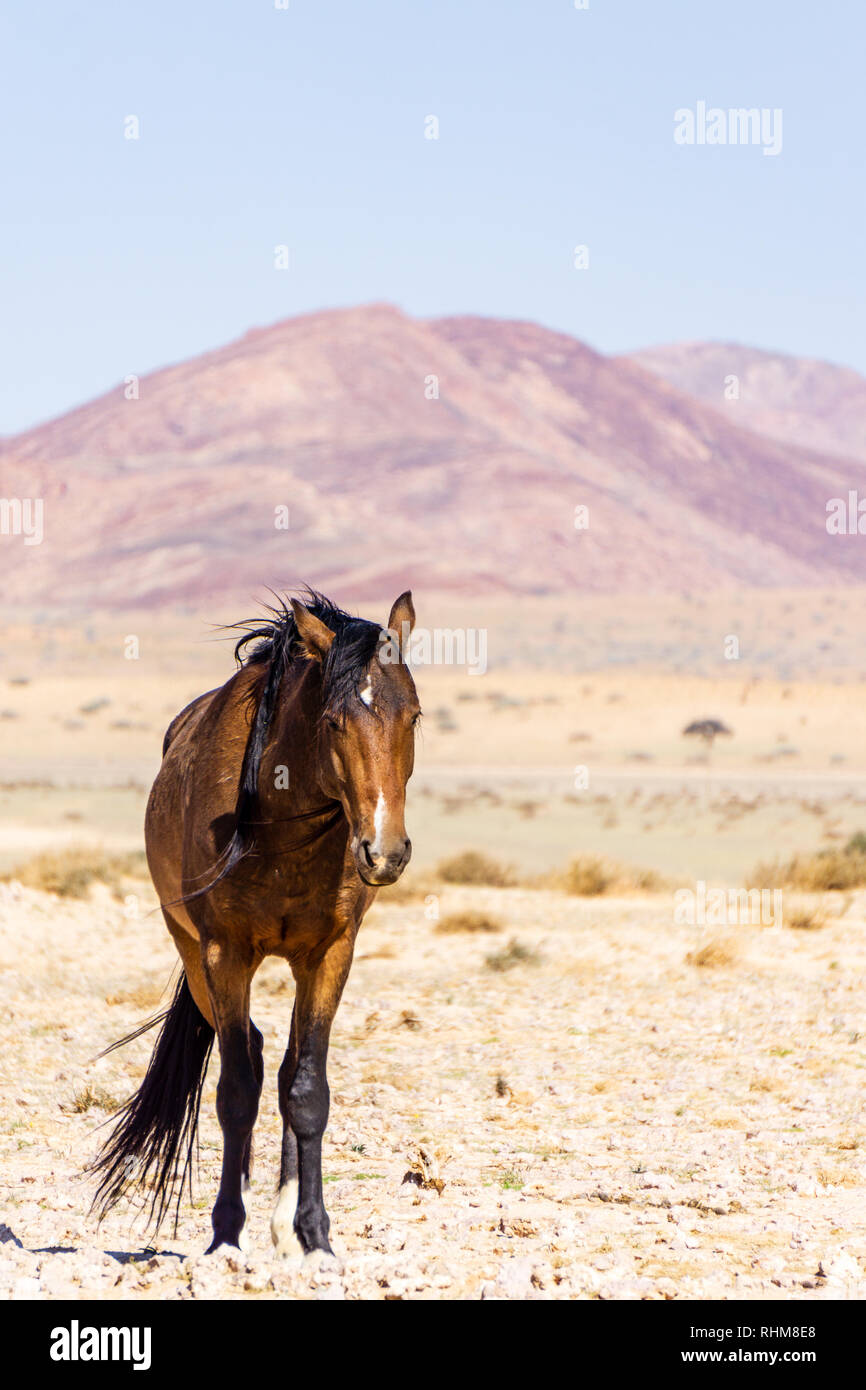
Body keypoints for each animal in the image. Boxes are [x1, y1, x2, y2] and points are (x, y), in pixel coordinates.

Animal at [91, 589, 419, 1262]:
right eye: (334, 722)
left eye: (416, 718)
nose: (384, 852)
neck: (279, 822)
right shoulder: (225, 953)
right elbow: (236, 1091)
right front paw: (224, 1234)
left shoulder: (330, 954)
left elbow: (308, 1090)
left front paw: (315, 1236)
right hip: (194, 957)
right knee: (252, 1055)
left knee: (287, 1064)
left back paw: (283, 1223)